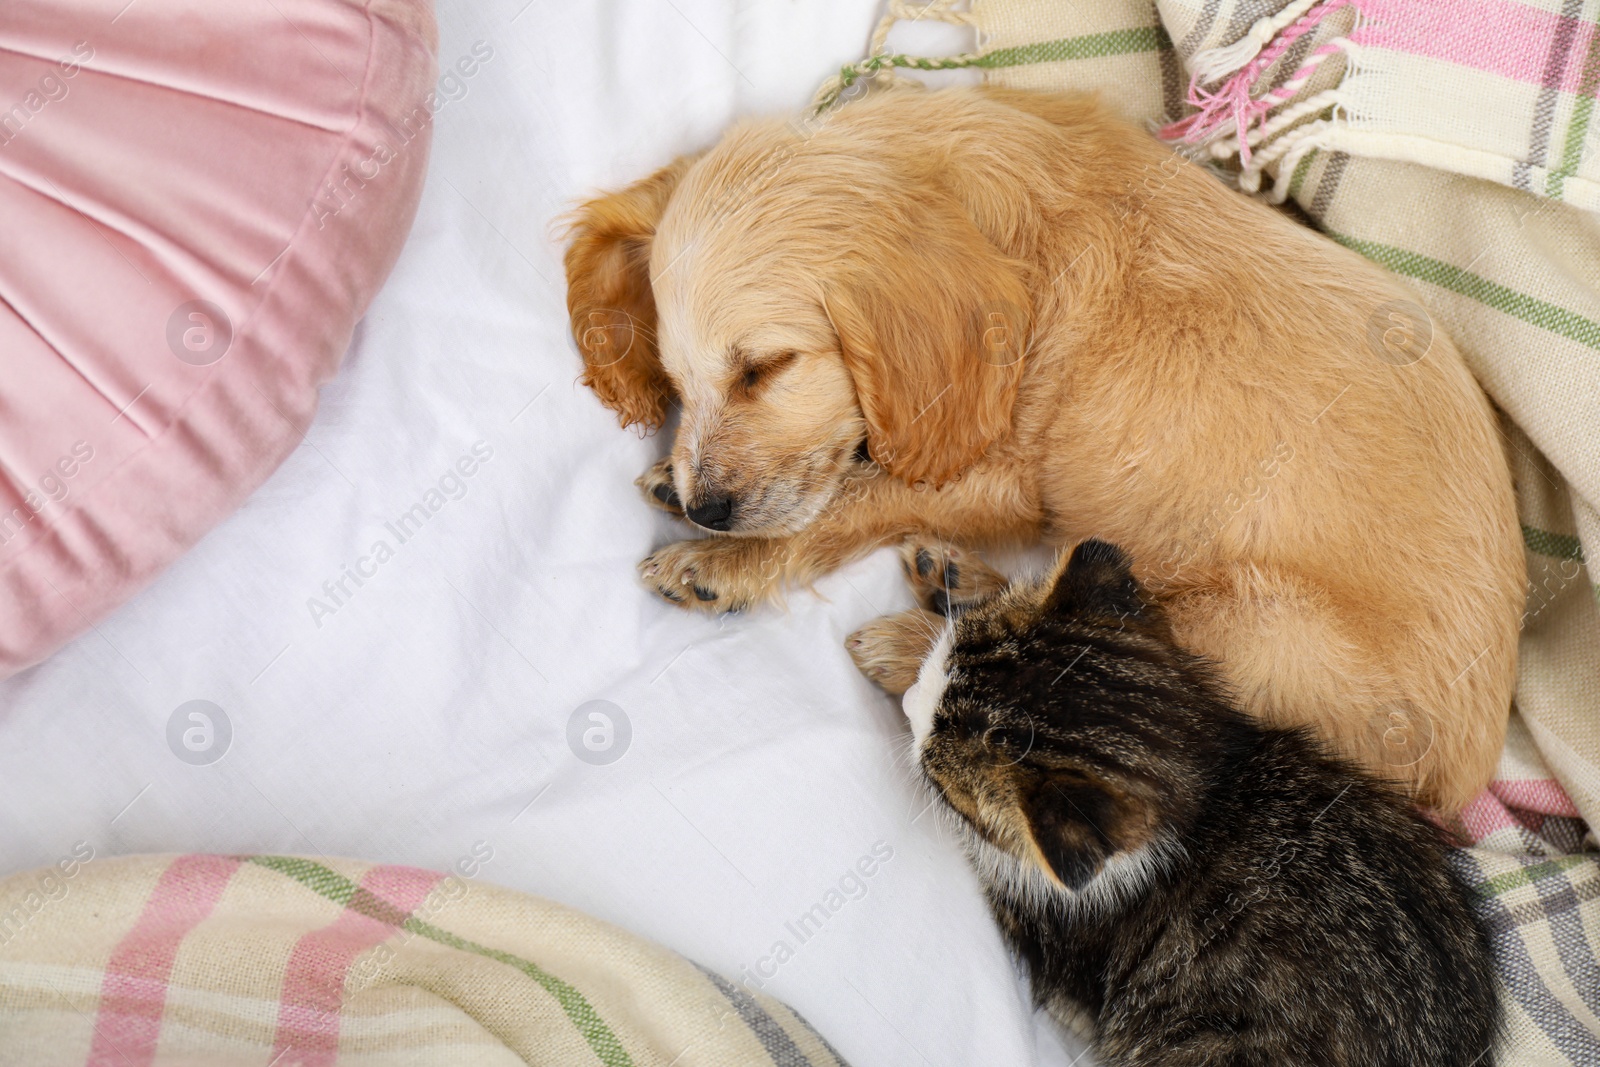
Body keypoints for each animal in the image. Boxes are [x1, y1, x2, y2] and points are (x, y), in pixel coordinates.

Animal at [563, 89, 1523, 809]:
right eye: (674, 378)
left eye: (765, 368)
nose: (707, 507)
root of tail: (1457, 788)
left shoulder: (999, 478)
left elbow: (853, 500)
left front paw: (719, 563)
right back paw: (958, 580)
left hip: (1251, 631)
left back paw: (912, 645)